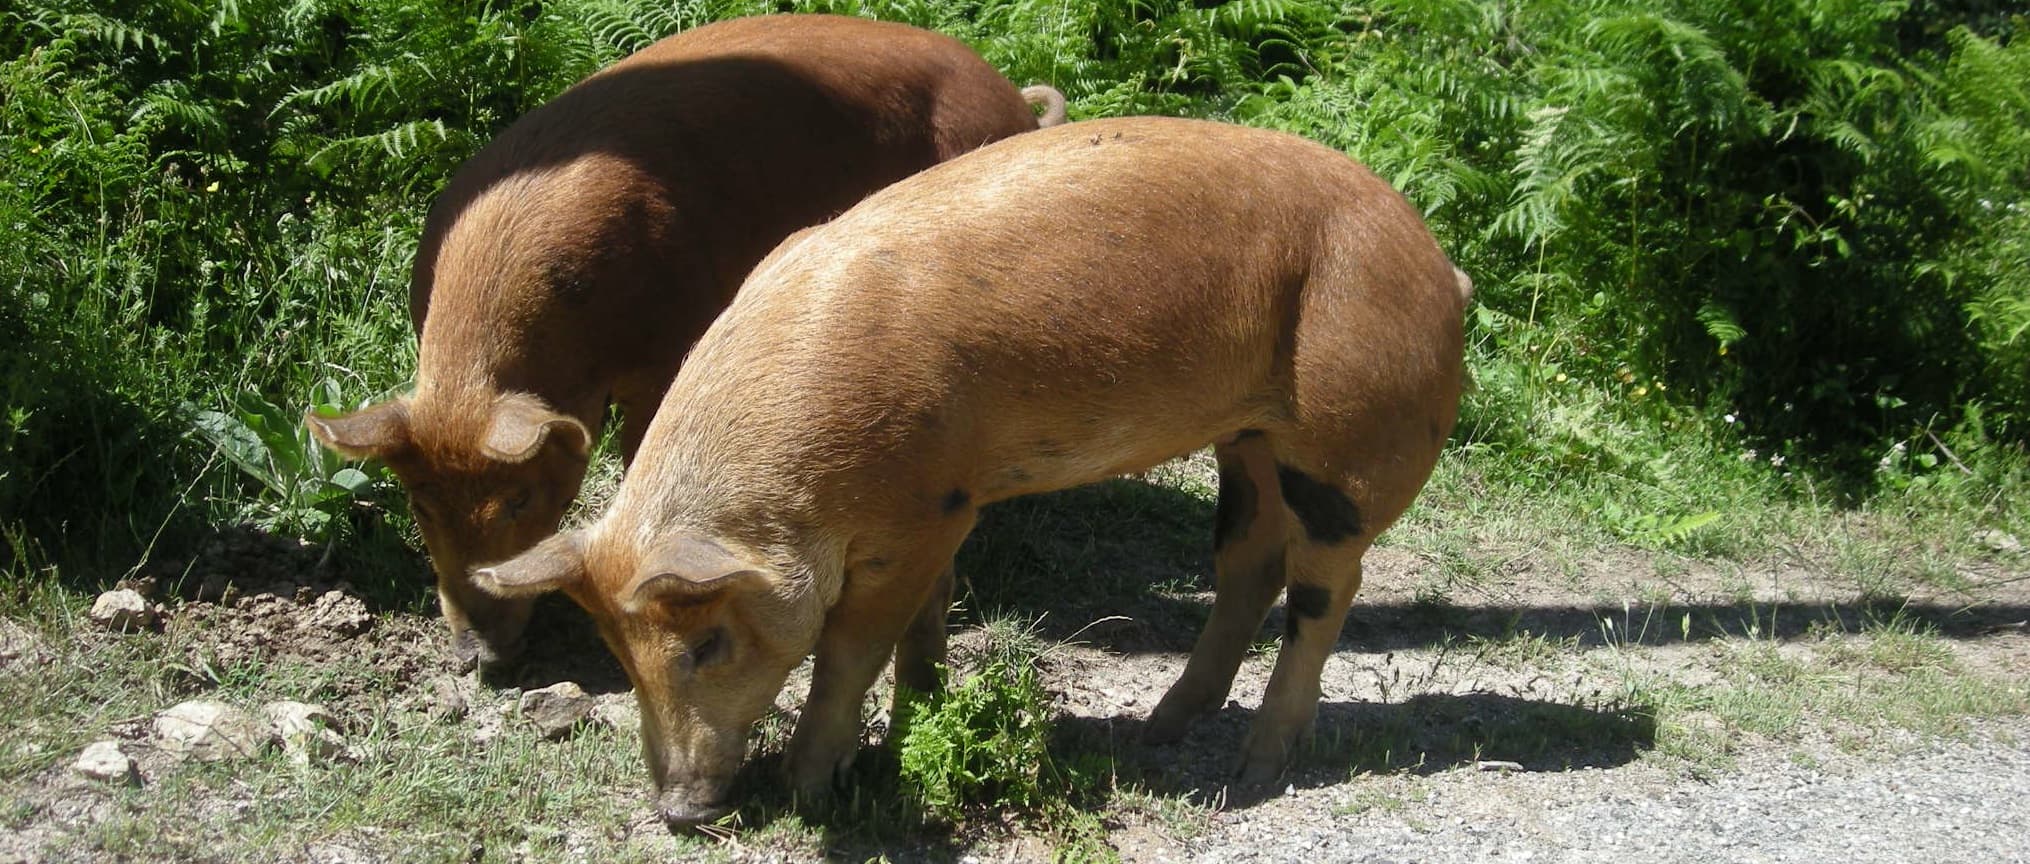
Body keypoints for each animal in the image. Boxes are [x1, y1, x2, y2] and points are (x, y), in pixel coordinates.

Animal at [303, 14, 1068, 677]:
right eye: (418, 504)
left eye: (518, 500)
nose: (475, 659)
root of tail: (1010, 97)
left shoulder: (671, 345)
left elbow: (640, 448)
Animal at [474, 116, 1473, 828]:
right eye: (618, 653)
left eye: (707, 643)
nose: (678, 813)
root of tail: (1437, 264)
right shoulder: (941, 500)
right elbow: (926, 620)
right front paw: (917, 720)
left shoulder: (921, 509)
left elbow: (852, 648)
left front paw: (811, 788)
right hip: (1249, 438)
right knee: (1247, 564)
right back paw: (1163, 727)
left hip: (1345, 438)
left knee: (1326, 588)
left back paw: (1253, 769)